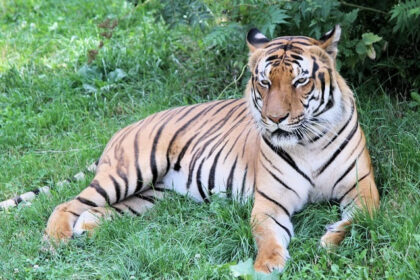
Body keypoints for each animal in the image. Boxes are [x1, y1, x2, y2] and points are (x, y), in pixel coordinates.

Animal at [0, 24, 380, 274]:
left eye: (300, 80)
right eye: (264, 81)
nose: (275, 119)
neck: (307, 141)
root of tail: (125, 128)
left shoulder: (362, 189)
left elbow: (362, 218)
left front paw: (329, 239)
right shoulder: (270, 203)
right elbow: (269, 238)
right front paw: (266, 266)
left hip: (151, 196)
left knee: (97, 211)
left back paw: (86, 229)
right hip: (130, 172)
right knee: (66, 205)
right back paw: (56, 241)